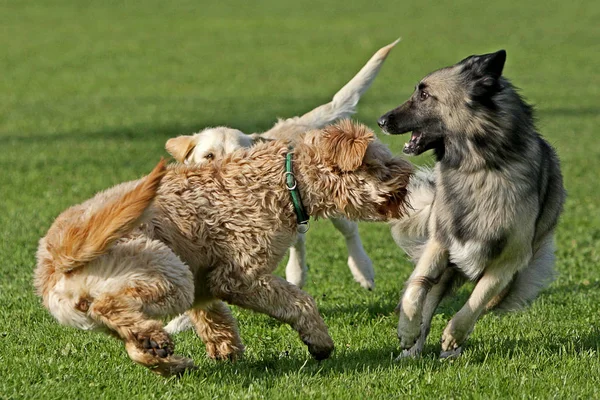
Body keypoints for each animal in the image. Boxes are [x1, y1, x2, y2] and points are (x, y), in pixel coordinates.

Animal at [34, 120, 412, 376]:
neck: (288, 180)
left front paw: (225, 350)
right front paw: (319, 340)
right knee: (111, 306)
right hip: (169, 276)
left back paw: (166, 356)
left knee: (131, 343)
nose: (408, 175)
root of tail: (58, 253)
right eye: (380, 164)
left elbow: (214, 317)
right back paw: (156, 340)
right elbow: (299, 302)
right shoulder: (237, 276)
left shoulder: (205, 279)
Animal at [380, 50, 568, 360]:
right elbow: (417, 286)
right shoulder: (440, 243)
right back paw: (411, 349)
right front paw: (407, 329)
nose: (381, 120)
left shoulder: (508, 261)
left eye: (425, 95)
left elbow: (477, 300)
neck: (477, 167)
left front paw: (452, 337)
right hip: (446, 269)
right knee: (428, 300)